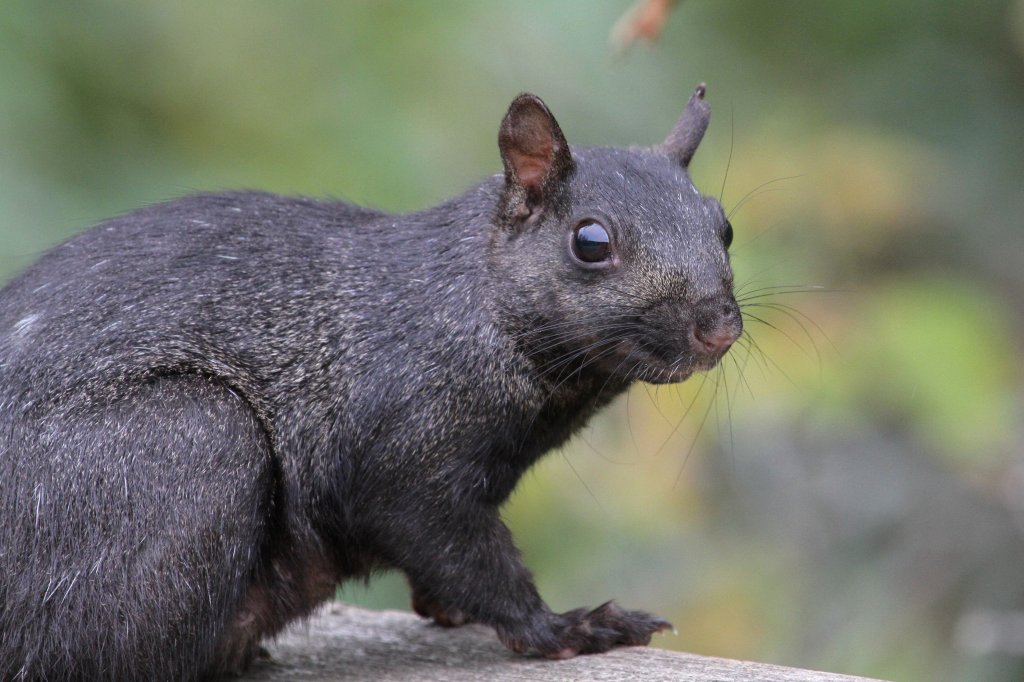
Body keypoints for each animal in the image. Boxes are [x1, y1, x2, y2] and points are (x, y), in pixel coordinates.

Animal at [0, 86, 737, 679]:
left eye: (724, 225)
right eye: (590, 242)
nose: (719, 326)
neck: (474, 305)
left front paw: (446, 610)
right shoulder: (405, 460)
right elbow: (465, 556)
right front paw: (568, 627)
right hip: (190, 442)